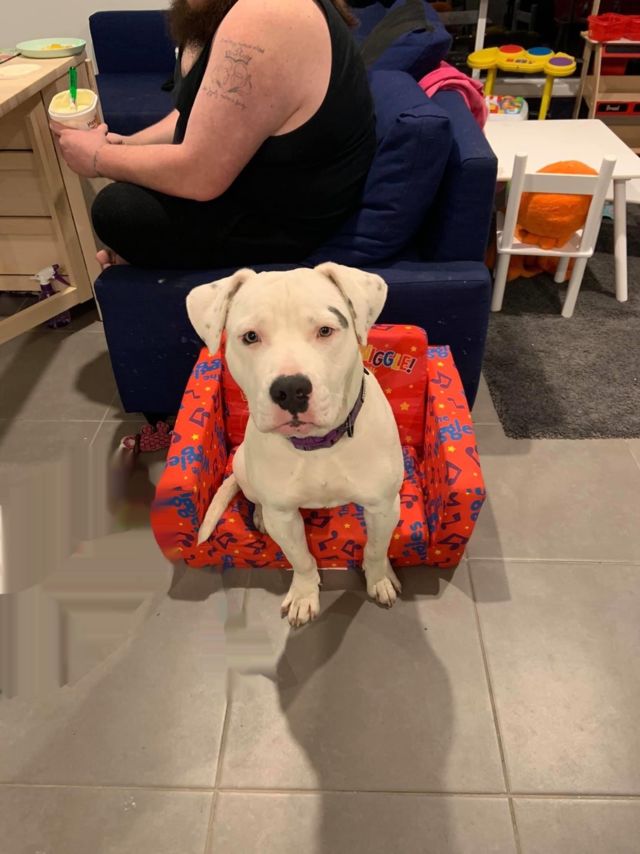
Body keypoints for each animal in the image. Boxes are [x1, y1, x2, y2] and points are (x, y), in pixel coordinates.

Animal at [186, 263, 404, 627]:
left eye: (325, 330)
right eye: (250, 336)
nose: (290, 389)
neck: (318, 446)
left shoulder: (384, 506)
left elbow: (375, 549)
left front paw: (379, 578)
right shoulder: (285, 517)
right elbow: (300, 558)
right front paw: (304, 594)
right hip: (244, 467)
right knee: (255, 498)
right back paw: (259, 515)